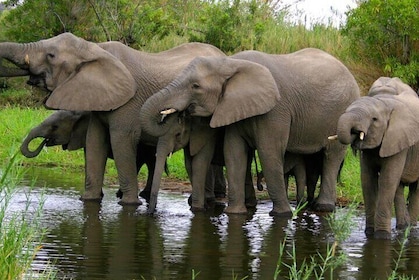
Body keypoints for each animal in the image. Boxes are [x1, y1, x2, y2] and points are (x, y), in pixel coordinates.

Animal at [0, 32, 226, 207]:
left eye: (51, 55)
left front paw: (129, 204)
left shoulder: (128, 103)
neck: (95, 49)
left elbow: (120, 142)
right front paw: (88, 200)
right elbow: (94, 142)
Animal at [139, 48, 360, 215]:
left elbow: (269, 152)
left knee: (332, 156)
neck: (230, 63)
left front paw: (281, 215)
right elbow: (234, 152)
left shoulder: (275, 110)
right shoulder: (234, 106)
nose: (151, 213)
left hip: (342, 112)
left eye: (195, 86)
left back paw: (323, 207)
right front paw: (235, 213)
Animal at [336, 76, 419, 238]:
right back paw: (402, 227)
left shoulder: (399, 139)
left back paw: (410, 229)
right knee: (399, 188)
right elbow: (367, 179)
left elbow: (387, 180)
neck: (384, 102)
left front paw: (382, 236)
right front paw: (369, 233)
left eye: (374, 119)